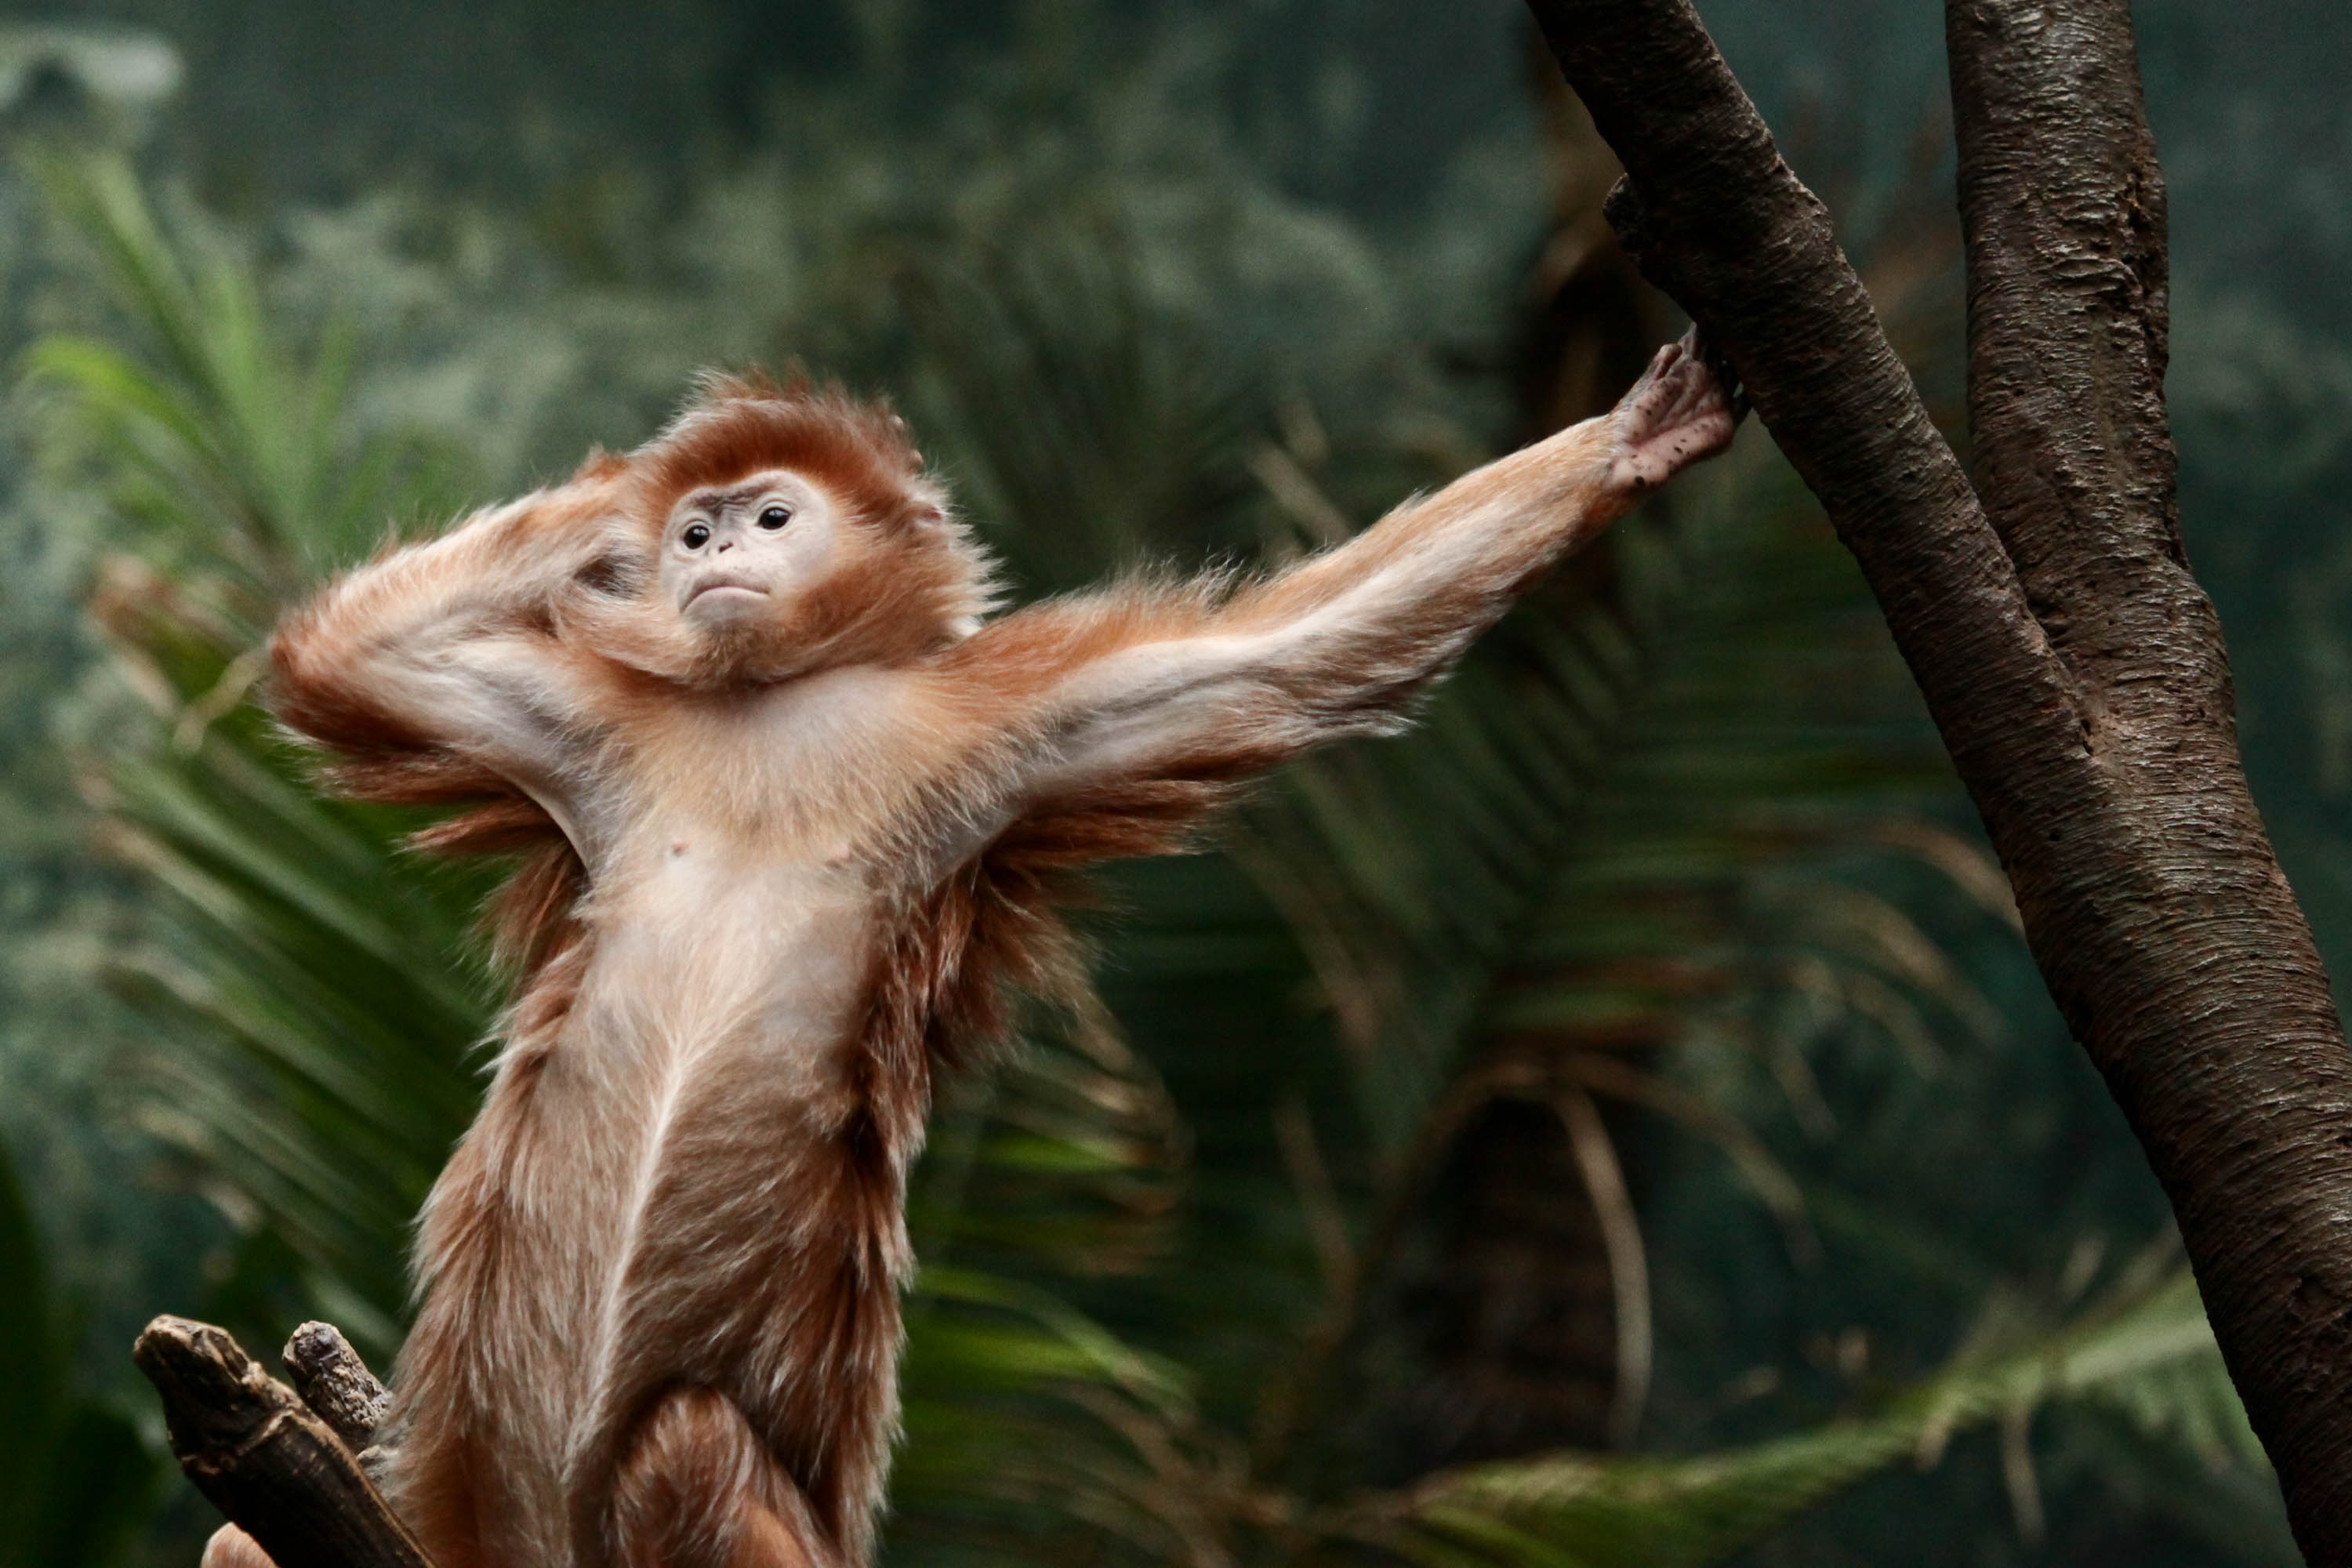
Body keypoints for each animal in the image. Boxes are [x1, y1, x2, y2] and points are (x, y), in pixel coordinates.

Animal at [199, 332, 1736, 1568]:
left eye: (771, 516)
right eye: (696, 534)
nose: (714, 554)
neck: (774, 704)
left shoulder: (999, 731)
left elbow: (1286, 659)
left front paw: (1626, 443)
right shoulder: (576, 728)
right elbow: (348, 658)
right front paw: (620, 482)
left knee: (685, 1447)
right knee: (234, 1542)